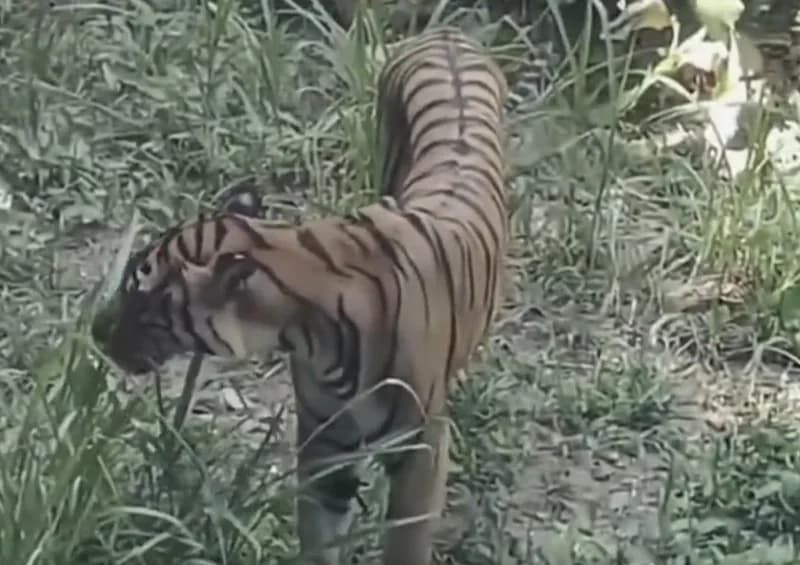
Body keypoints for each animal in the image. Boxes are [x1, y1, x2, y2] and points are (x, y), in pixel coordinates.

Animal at [96, 26, 508, 565]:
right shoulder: (324, 445)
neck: (310, 336)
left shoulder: (421, 450)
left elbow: (405, 541)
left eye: (142, 301)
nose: (96, 332)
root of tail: (445, 31)